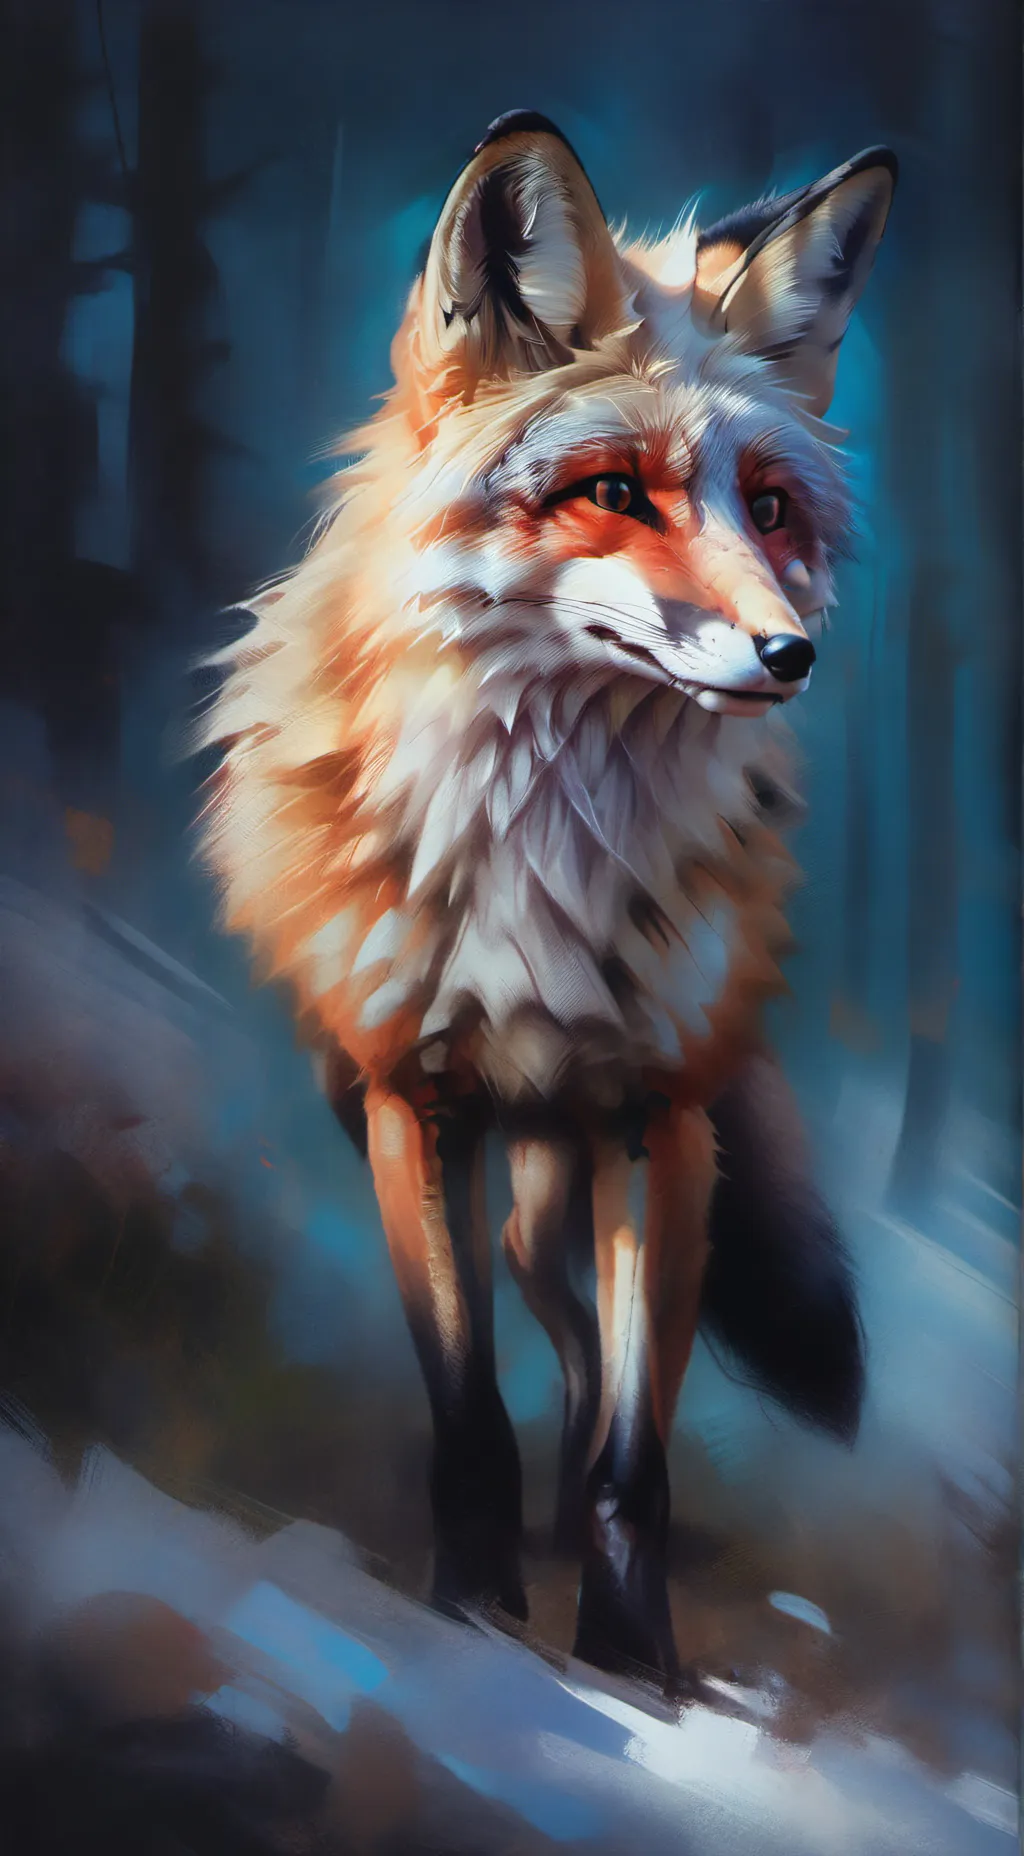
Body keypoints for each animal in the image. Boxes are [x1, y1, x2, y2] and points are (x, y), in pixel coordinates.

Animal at [197, 112, 896, 1692]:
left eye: (769, 508)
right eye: (616, 491)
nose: (792, 653)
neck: (550, 861)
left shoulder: (659, 1119)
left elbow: (637, 1458)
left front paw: (629, 1659)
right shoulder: (414, 1103)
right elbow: (469, 1421)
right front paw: (474, 1611)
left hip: (589, 1166)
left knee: (589, 1366)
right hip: (463, 1160)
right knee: (546, 1329)